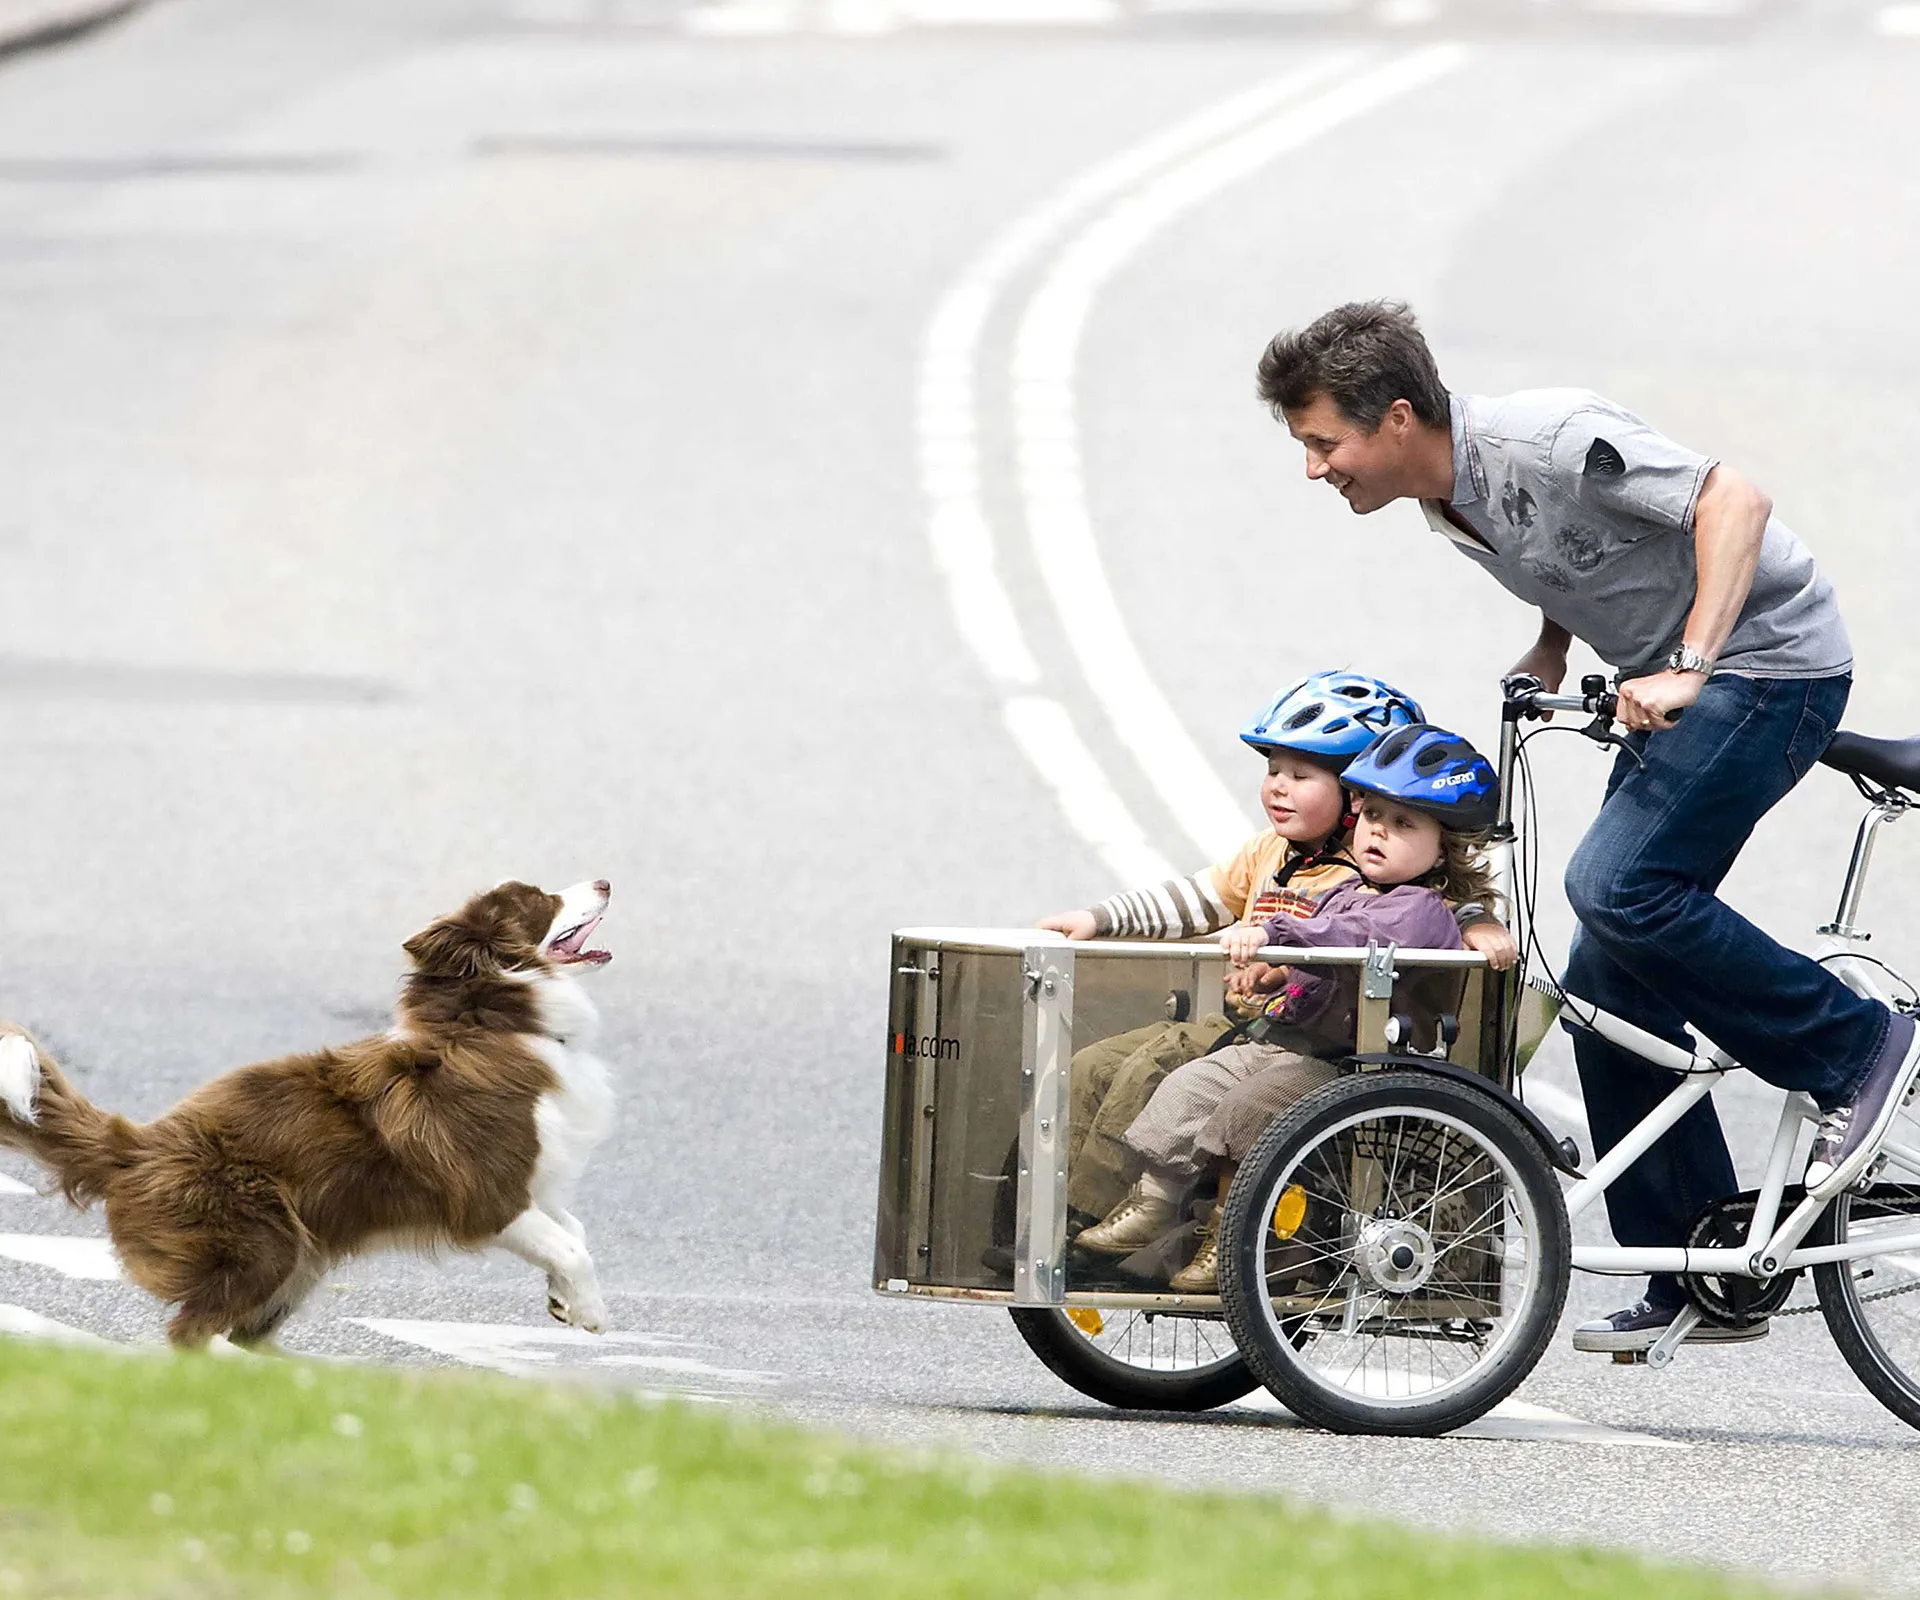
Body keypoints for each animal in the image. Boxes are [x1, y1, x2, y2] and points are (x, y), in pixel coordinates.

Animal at [0, 879, 614, 1344]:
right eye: (541, 899)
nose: (606, 881)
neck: (492, 1022)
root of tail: (134, 1145)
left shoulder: (537, 1180)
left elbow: (575, 1229)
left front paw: (561, 1300)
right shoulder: (490, 1193)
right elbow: (570, 1247)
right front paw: (590, 1311)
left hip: (299, 1258)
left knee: (239, 1334)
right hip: (263, 1242)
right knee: (193, 1332)